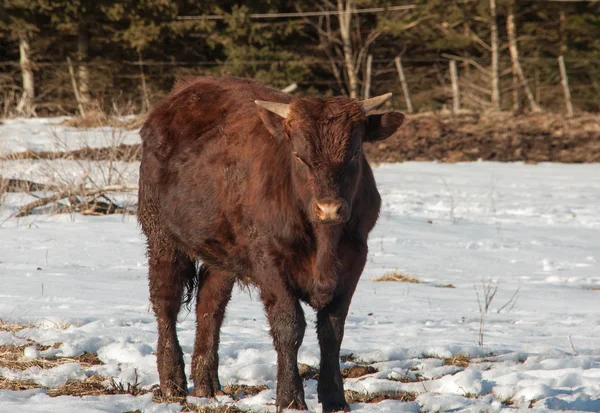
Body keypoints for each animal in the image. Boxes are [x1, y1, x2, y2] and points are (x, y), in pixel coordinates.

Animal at [138, 76, 406, 408]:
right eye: (299, 156)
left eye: (355, 153)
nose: (329, 208)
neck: (324, 246)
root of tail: (184, 90)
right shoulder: (269, 262)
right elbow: (289, 326)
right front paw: (290, 398)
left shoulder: (355, 259)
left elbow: (332, 330)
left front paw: (335, 399)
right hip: (162, 237)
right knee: (166, 303)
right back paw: (172, 382)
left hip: (222, 256)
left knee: (210, 308)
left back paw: (207, 385)